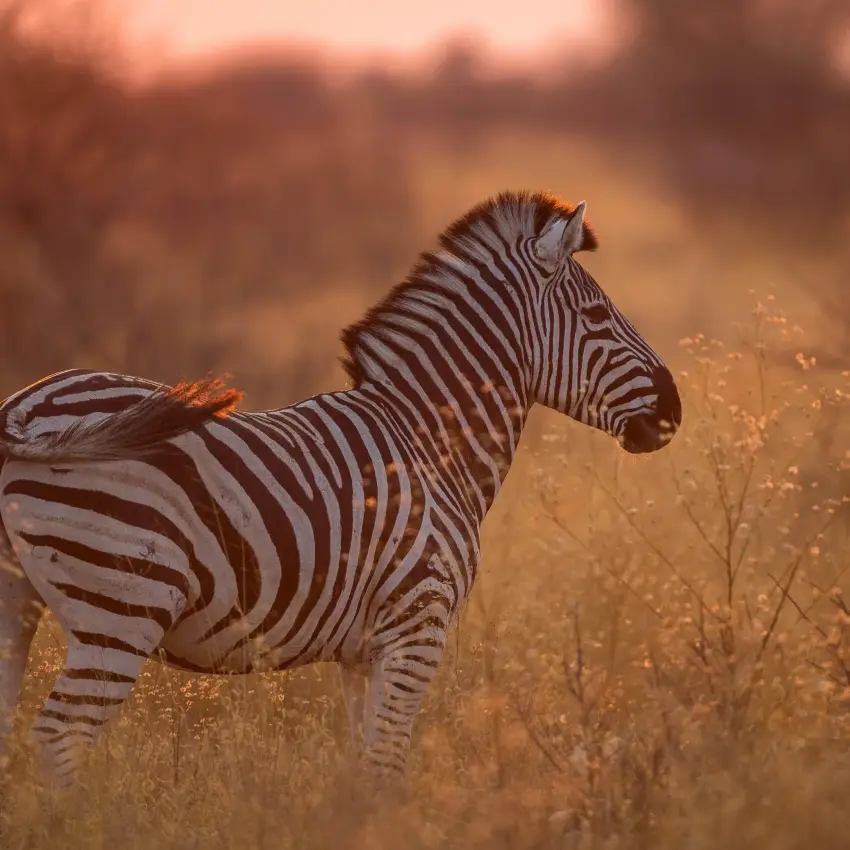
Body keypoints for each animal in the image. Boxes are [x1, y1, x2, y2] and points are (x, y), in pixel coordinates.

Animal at [0, 191, 681, 785]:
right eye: (596, 316)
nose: (675, 408)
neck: (429, 441)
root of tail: (24, 407)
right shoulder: (416, 628)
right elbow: (386, 770)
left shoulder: (361, 652)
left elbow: (362, 770)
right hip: (122, 605)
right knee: (59, 739)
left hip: (19, 602)